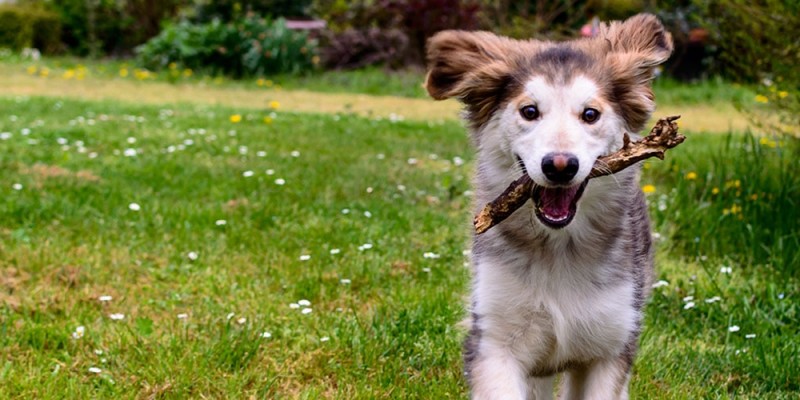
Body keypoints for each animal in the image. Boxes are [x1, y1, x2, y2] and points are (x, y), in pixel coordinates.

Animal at [424, 14, 676, 398]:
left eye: (590, 114)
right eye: (529, 111)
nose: (559, 166)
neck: (559, 248)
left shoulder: (611, 344)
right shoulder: (494, 340)